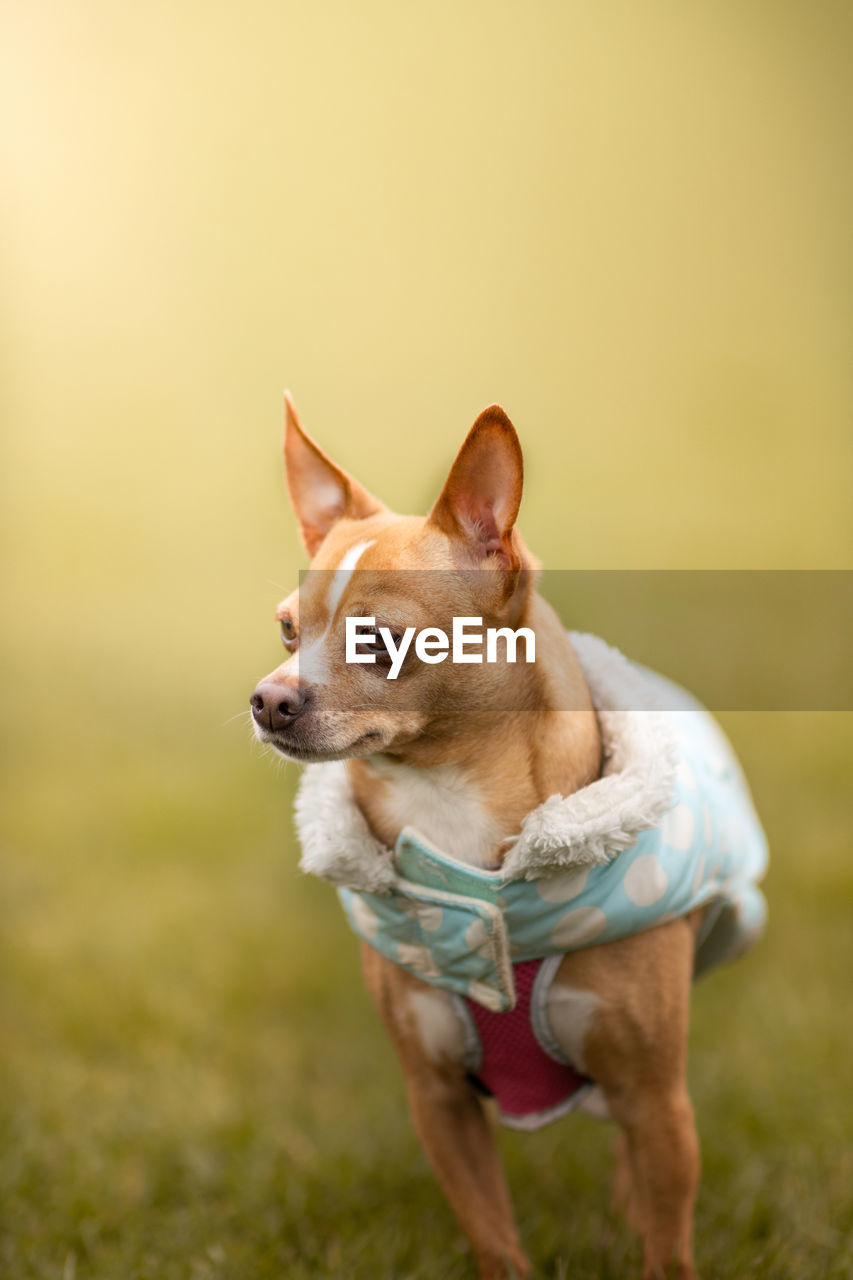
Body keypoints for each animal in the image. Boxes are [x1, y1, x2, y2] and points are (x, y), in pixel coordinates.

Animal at [249, 394, 768, 1274]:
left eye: (379, 640)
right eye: (288, 631)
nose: (267, 699)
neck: (447, 801)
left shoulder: (656, 1099)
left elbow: (666, 1246)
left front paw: (646, 1234)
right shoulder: (439, 1101)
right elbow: (494, 1238)